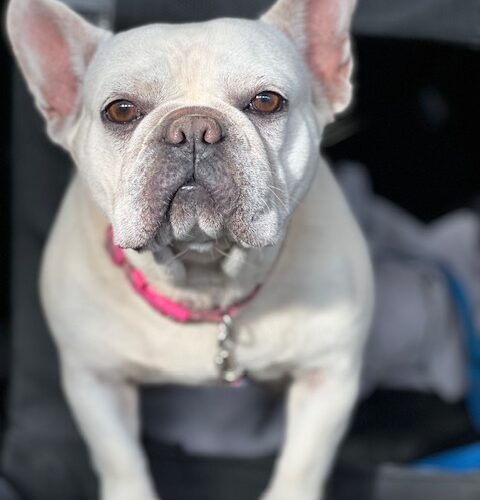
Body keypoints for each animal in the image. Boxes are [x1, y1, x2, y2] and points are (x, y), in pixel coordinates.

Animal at [7, 0, 374, 498]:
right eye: (120, 111)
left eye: (267, 101)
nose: (194, 127)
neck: (203, 280)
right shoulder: (96, 380)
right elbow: (120, 458)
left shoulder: (328, 376)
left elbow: (302, 464)